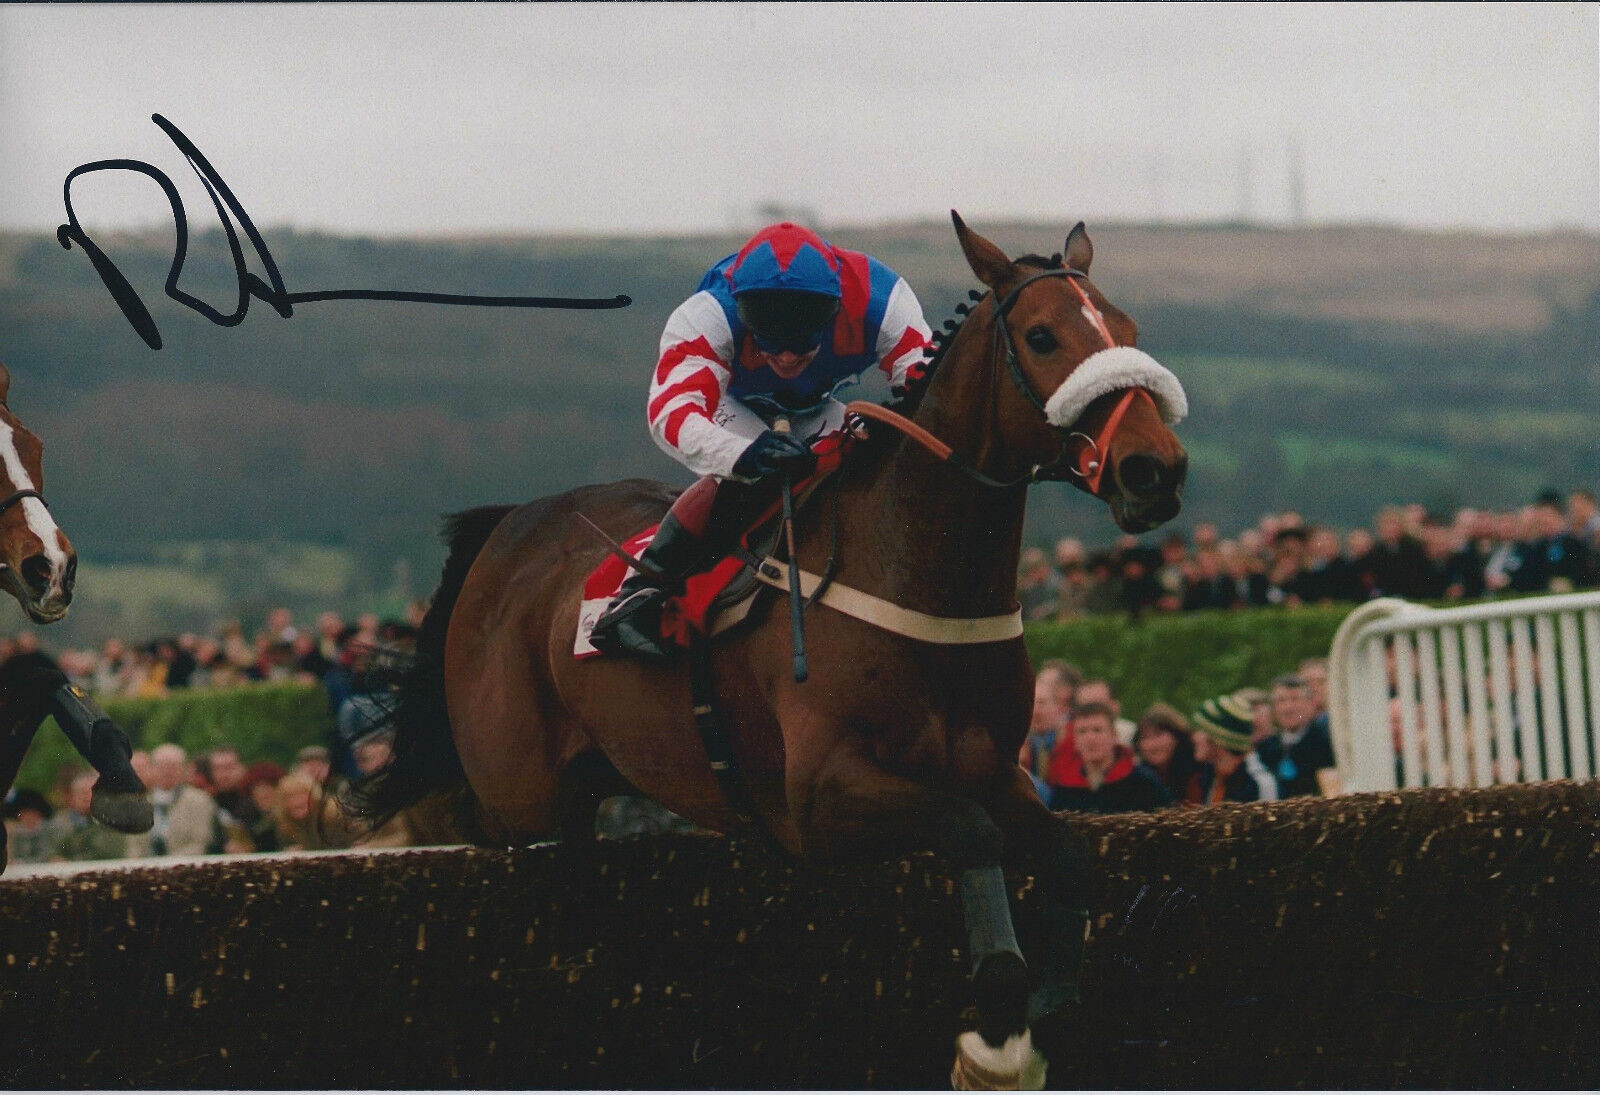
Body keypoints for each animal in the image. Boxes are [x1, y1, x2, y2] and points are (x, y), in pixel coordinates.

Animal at [363, 216, 1190, 1088]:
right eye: (1041, 336)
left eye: (1128, 328)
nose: (1155, 468)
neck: (917, 576)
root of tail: (510, 527)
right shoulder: (821, 796)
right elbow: (971, 832)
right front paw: (993, 1036)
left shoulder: (993, 766)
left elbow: (1067, 851)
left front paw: (1041, 1013)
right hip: (515, 791)